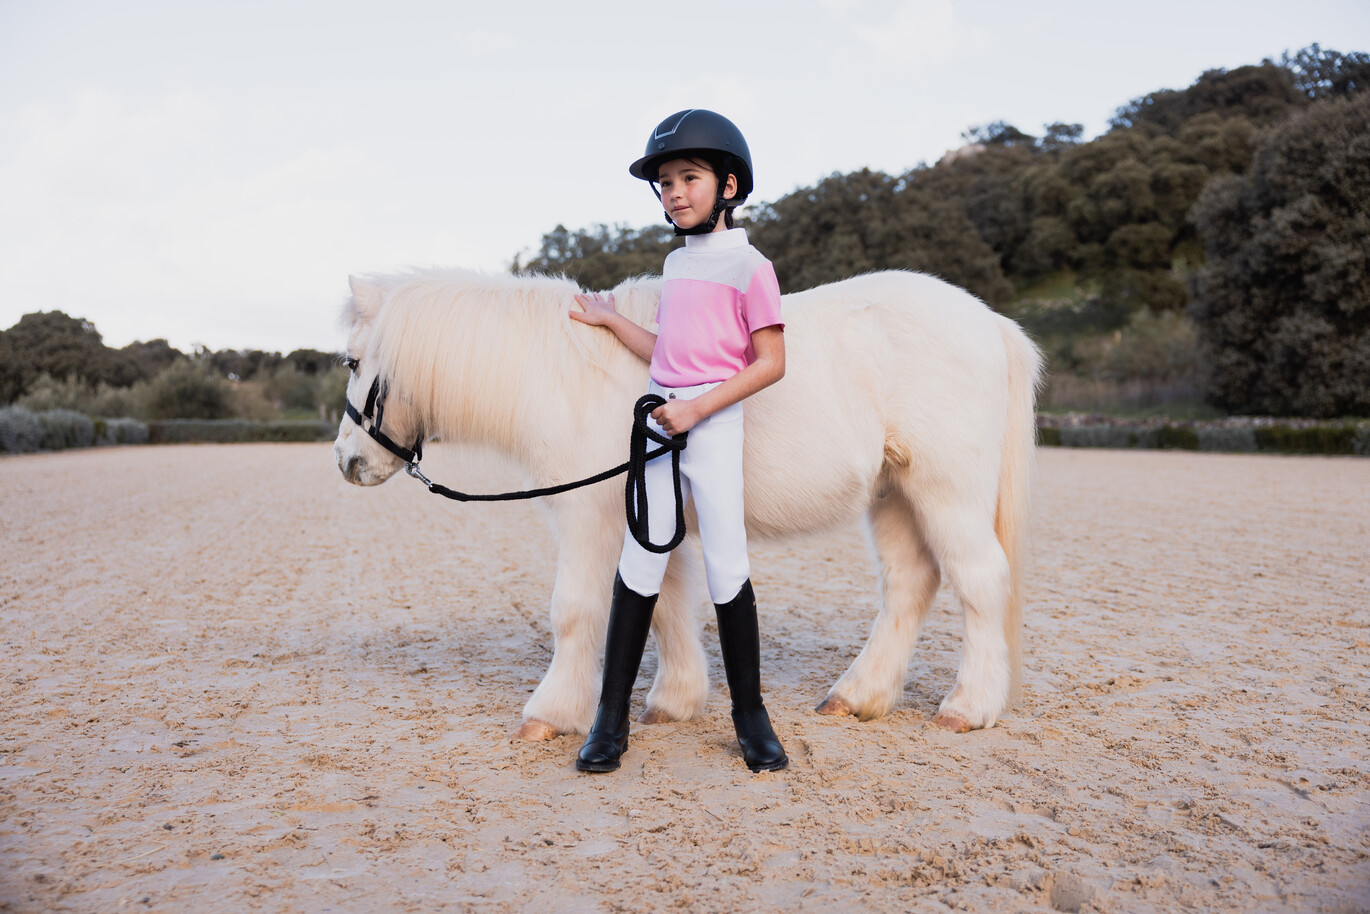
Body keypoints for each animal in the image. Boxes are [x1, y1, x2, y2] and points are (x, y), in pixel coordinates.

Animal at [333, 267, 1043, 739]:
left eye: (352, 362)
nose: (345, 462)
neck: (567, 376)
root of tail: (991, 324)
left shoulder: (590, 520)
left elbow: (576, 610)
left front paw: (549, 714)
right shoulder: (652, 516)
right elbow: (666, 605)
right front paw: (673, 701)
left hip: (945, 492)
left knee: (981, 581)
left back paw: (968, 707)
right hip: (894, 496)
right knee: (909, 584)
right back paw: (859, 696)